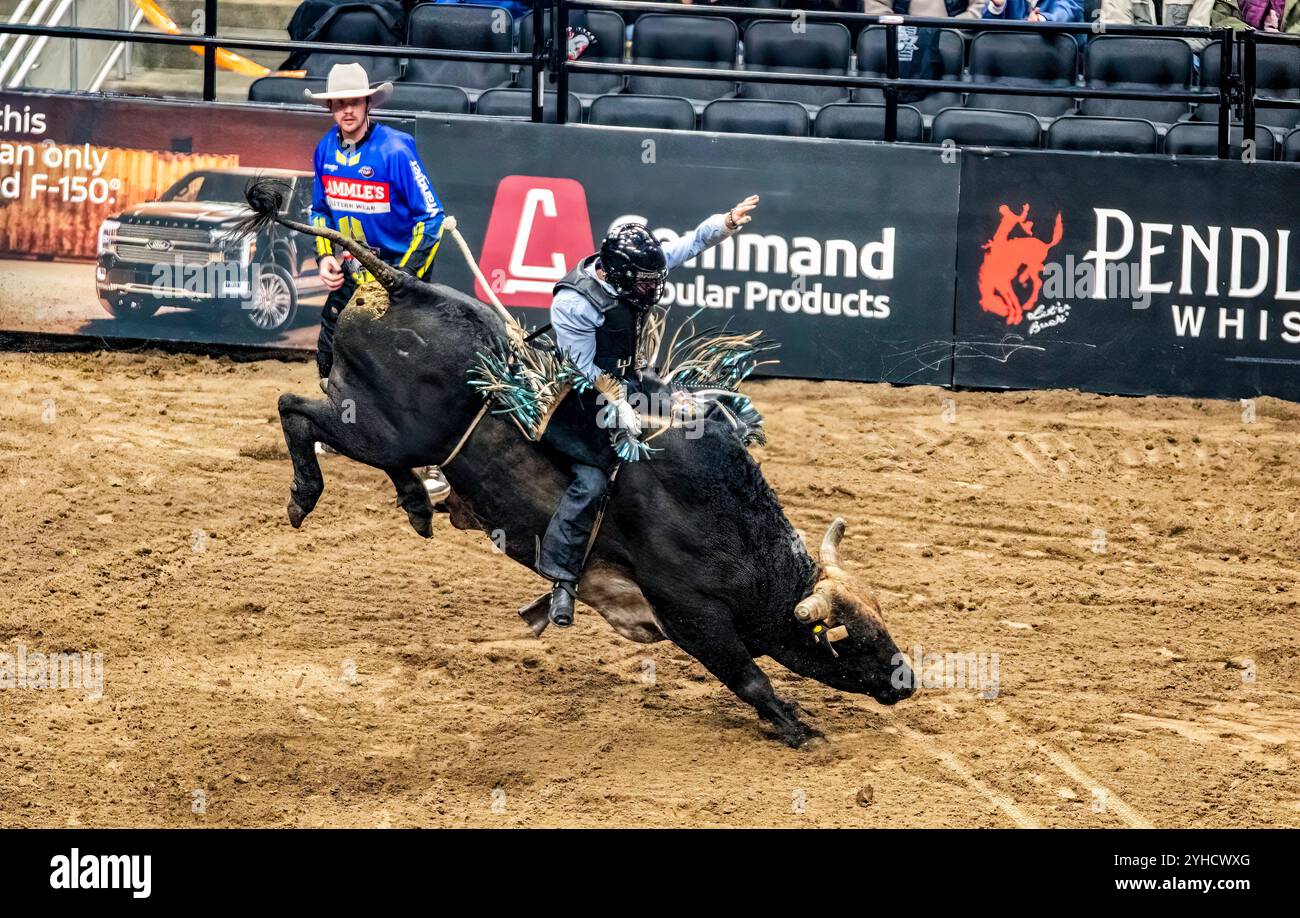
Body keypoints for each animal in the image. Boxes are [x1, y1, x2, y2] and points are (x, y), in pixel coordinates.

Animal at [241, 179, 915, 743]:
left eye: (882, 623)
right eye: (849, 642)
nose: (905, 678)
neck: (732, 532)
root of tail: (404, 283)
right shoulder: (689, 613)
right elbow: (747, 673)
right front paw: (795, 724)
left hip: (396, 434)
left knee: (355, 443)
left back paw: (415, 504)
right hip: (382, 428)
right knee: (294, 408)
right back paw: (305, 495)